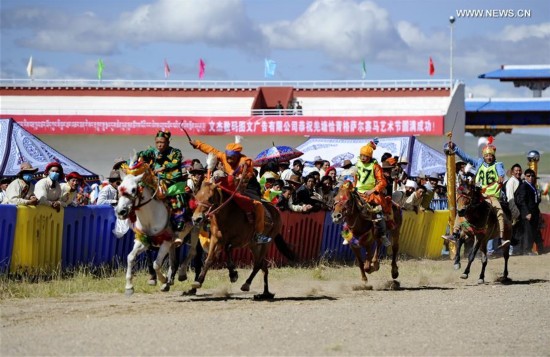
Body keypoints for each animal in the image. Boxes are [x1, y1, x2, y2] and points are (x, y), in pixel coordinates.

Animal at [115, 161, 197, 294]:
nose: (120, 212)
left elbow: (156, 264)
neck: (150, 217)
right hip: (174, 243)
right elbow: (130, 257)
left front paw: (162, 279)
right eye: (119, 188)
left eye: (133, 189)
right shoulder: (143, 240)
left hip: (196, 230)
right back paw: (169, 282)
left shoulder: (165, 241)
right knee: (173, 261)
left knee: (192, 252)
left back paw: (181, 274)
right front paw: (129, 287)